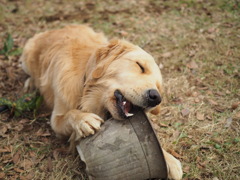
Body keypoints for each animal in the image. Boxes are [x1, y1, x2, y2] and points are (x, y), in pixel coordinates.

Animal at [20, 24, 182, 179]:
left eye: (159, 87)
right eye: (140, 66)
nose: (155, 97)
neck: (88, 93)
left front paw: (168, 159)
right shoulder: (56, 119)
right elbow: (70, 114)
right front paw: (83, 119)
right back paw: (30, 84)